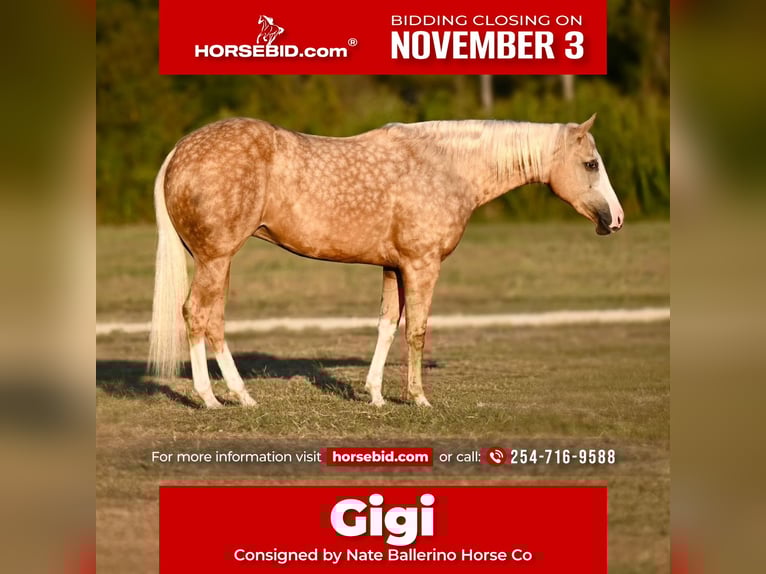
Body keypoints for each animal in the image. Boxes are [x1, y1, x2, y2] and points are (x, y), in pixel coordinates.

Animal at [149, 115, 624, 409]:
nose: (616, 219)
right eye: (591, 164)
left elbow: (386, 325)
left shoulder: (394, 267)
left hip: (218, 261)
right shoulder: (421, 265)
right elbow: (416, 330)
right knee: (198, 315)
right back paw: (212, 398)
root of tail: (180, 150)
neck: (448, 166)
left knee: (213, 320)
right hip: (216, 259)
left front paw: (376, 395)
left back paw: (241, 395)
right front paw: (418, 398)